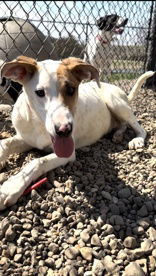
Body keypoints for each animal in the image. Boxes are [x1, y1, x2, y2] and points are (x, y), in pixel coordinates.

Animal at [0, 56, 154, 211]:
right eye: (40, 92)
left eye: (71, 89)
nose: (65, 130)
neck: (39, 125)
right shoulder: (26, 138)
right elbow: (5, 144)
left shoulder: (67, 153)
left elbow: (38, 161)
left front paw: (10, 188)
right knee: (122, 124)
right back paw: (117, 135)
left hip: (116, 102)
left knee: (140, 128)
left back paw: (137, 140)